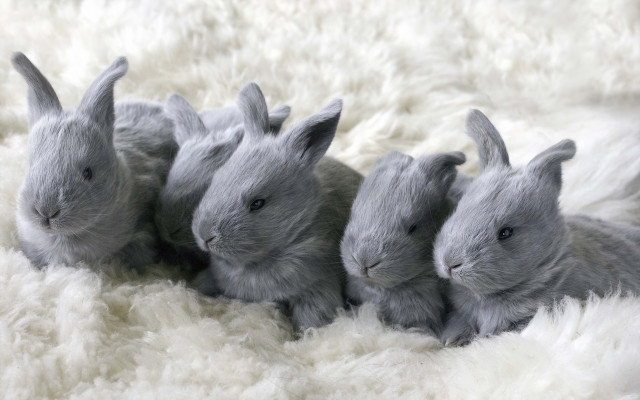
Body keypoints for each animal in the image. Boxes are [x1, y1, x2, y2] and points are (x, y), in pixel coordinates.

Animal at [192, 82, 364, 331]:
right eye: (216, 179)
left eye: (258, 203)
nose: (205, 235)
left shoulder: (318, 287)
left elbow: (313, 318)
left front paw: (306, 336)